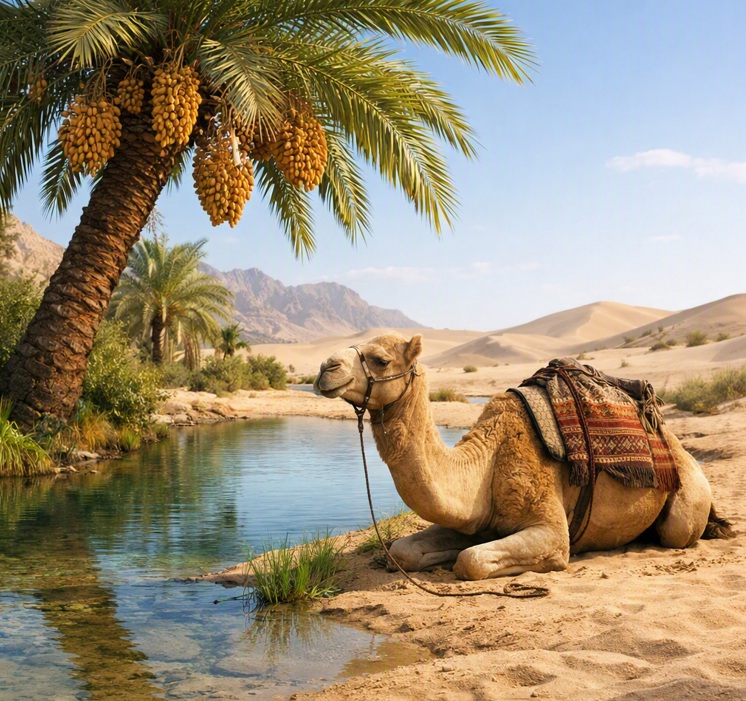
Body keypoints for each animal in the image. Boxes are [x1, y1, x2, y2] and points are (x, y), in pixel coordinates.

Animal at [314, 333, 733, 581]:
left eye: (381, 360)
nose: (324, 368)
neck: (486, 463)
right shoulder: (475, 520)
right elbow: (405, 551)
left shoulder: (550, 530)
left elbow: (471, 561)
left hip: (687, 500)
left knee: (677, 530)